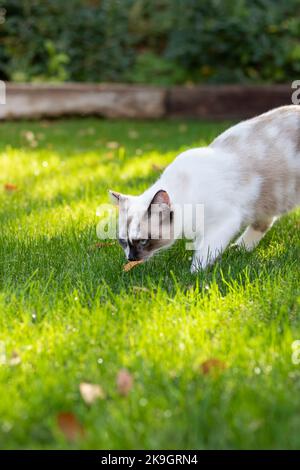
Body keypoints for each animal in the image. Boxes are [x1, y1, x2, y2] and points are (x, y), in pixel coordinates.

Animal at [109, 103, 300, 272]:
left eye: (143, 241)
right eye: (123, 242)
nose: (130, 258)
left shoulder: (224, 222)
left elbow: (204, 254)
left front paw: (194, 275)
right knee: (263, 222)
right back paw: (240, 249)